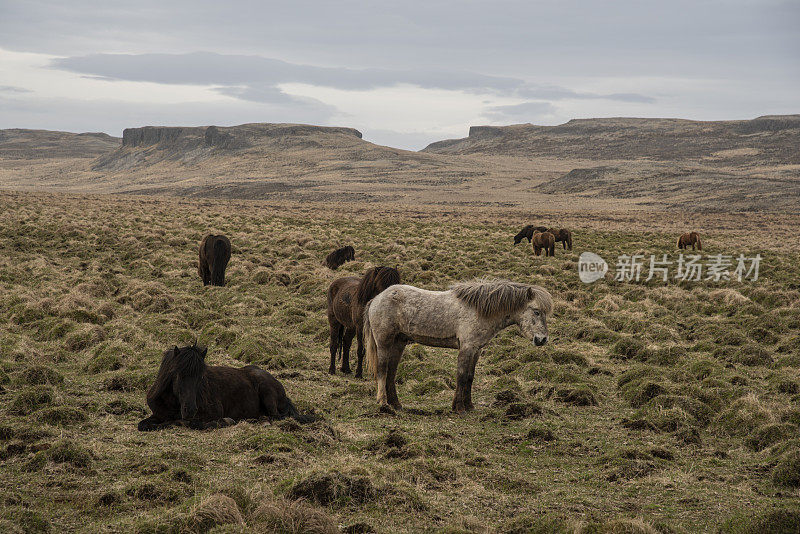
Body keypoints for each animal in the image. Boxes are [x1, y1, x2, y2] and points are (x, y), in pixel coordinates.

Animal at [139, 346, 310, 434]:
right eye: (178, 374)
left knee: (275, 417)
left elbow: (190, 423)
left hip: (267, 392)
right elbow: (144, 425)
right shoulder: (158, 414)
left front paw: (226, 421)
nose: (191, 410)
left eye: (201, 377)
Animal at [362, 280, 552, 414]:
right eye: (536, 311)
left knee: (391, 372)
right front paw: (459, 408)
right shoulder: (466, 348)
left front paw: (469, 406)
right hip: (384, 342)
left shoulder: (476, 350)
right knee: (382, 370)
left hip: (399, 343)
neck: (480, 310)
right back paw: (383, 403)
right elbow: (461, 376)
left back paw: (396, 404)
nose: (542, 339)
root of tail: (376, 299)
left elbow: (469, 377)